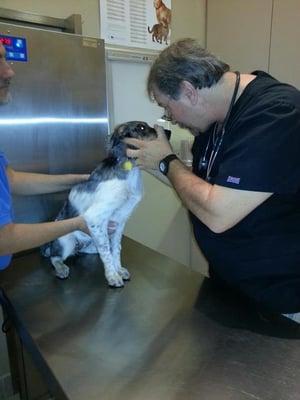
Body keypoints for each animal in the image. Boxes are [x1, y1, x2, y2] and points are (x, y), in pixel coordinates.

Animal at [42, 122, 170, 288]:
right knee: (54, 257)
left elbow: (115, 249)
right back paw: (61, 268)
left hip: (91, 242)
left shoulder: (119, 223)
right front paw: (113, 276)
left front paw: (119, 270)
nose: (168, 132)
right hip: (67, 242)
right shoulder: (95, 219)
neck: (130, 170)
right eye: (141, 127)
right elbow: (107, 253)